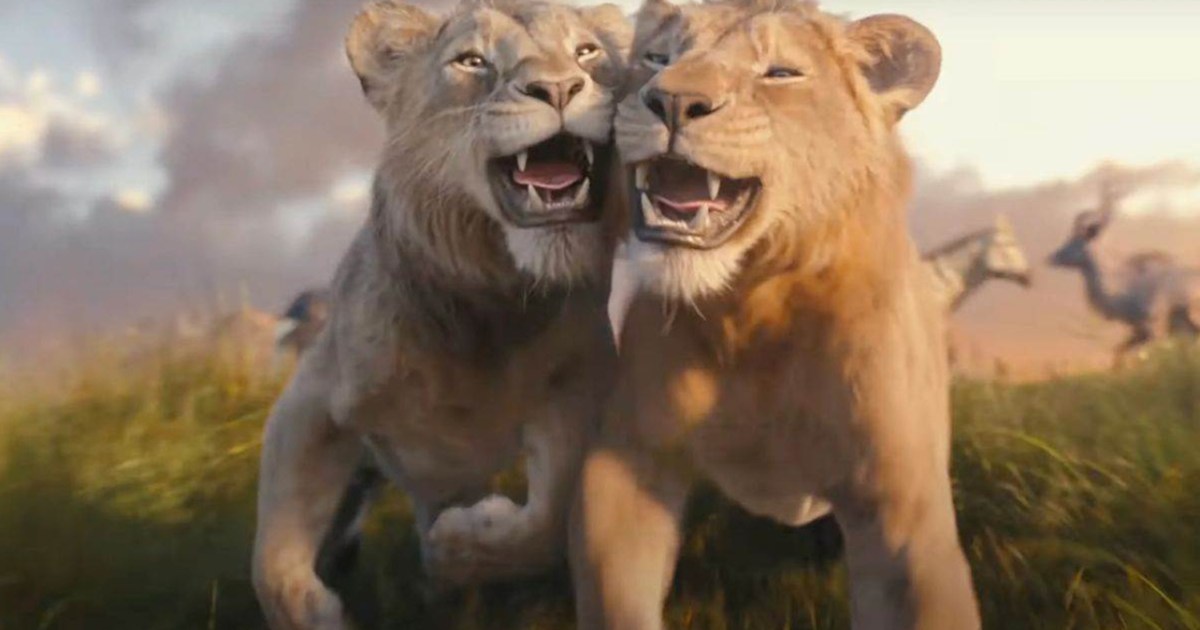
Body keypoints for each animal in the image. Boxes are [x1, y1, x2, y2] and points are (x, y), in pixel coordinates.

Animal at [251, 1, 630, 627]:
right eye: (472, 61)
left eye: (586, 52)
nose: (557, 87)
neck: (489, 303)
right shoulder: (312, 398)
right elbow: (274, 559)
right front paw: (317, 611)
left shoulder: (576, 386)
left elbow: (547, 519)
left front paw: (458, 550)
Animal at [569, 0, 981, 628]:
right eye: (657, 58)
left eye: (780, 74)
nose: (672, 101)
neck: (748, 312)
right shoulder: (626, 460)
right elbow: (616, 600)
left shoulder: (900, 503)